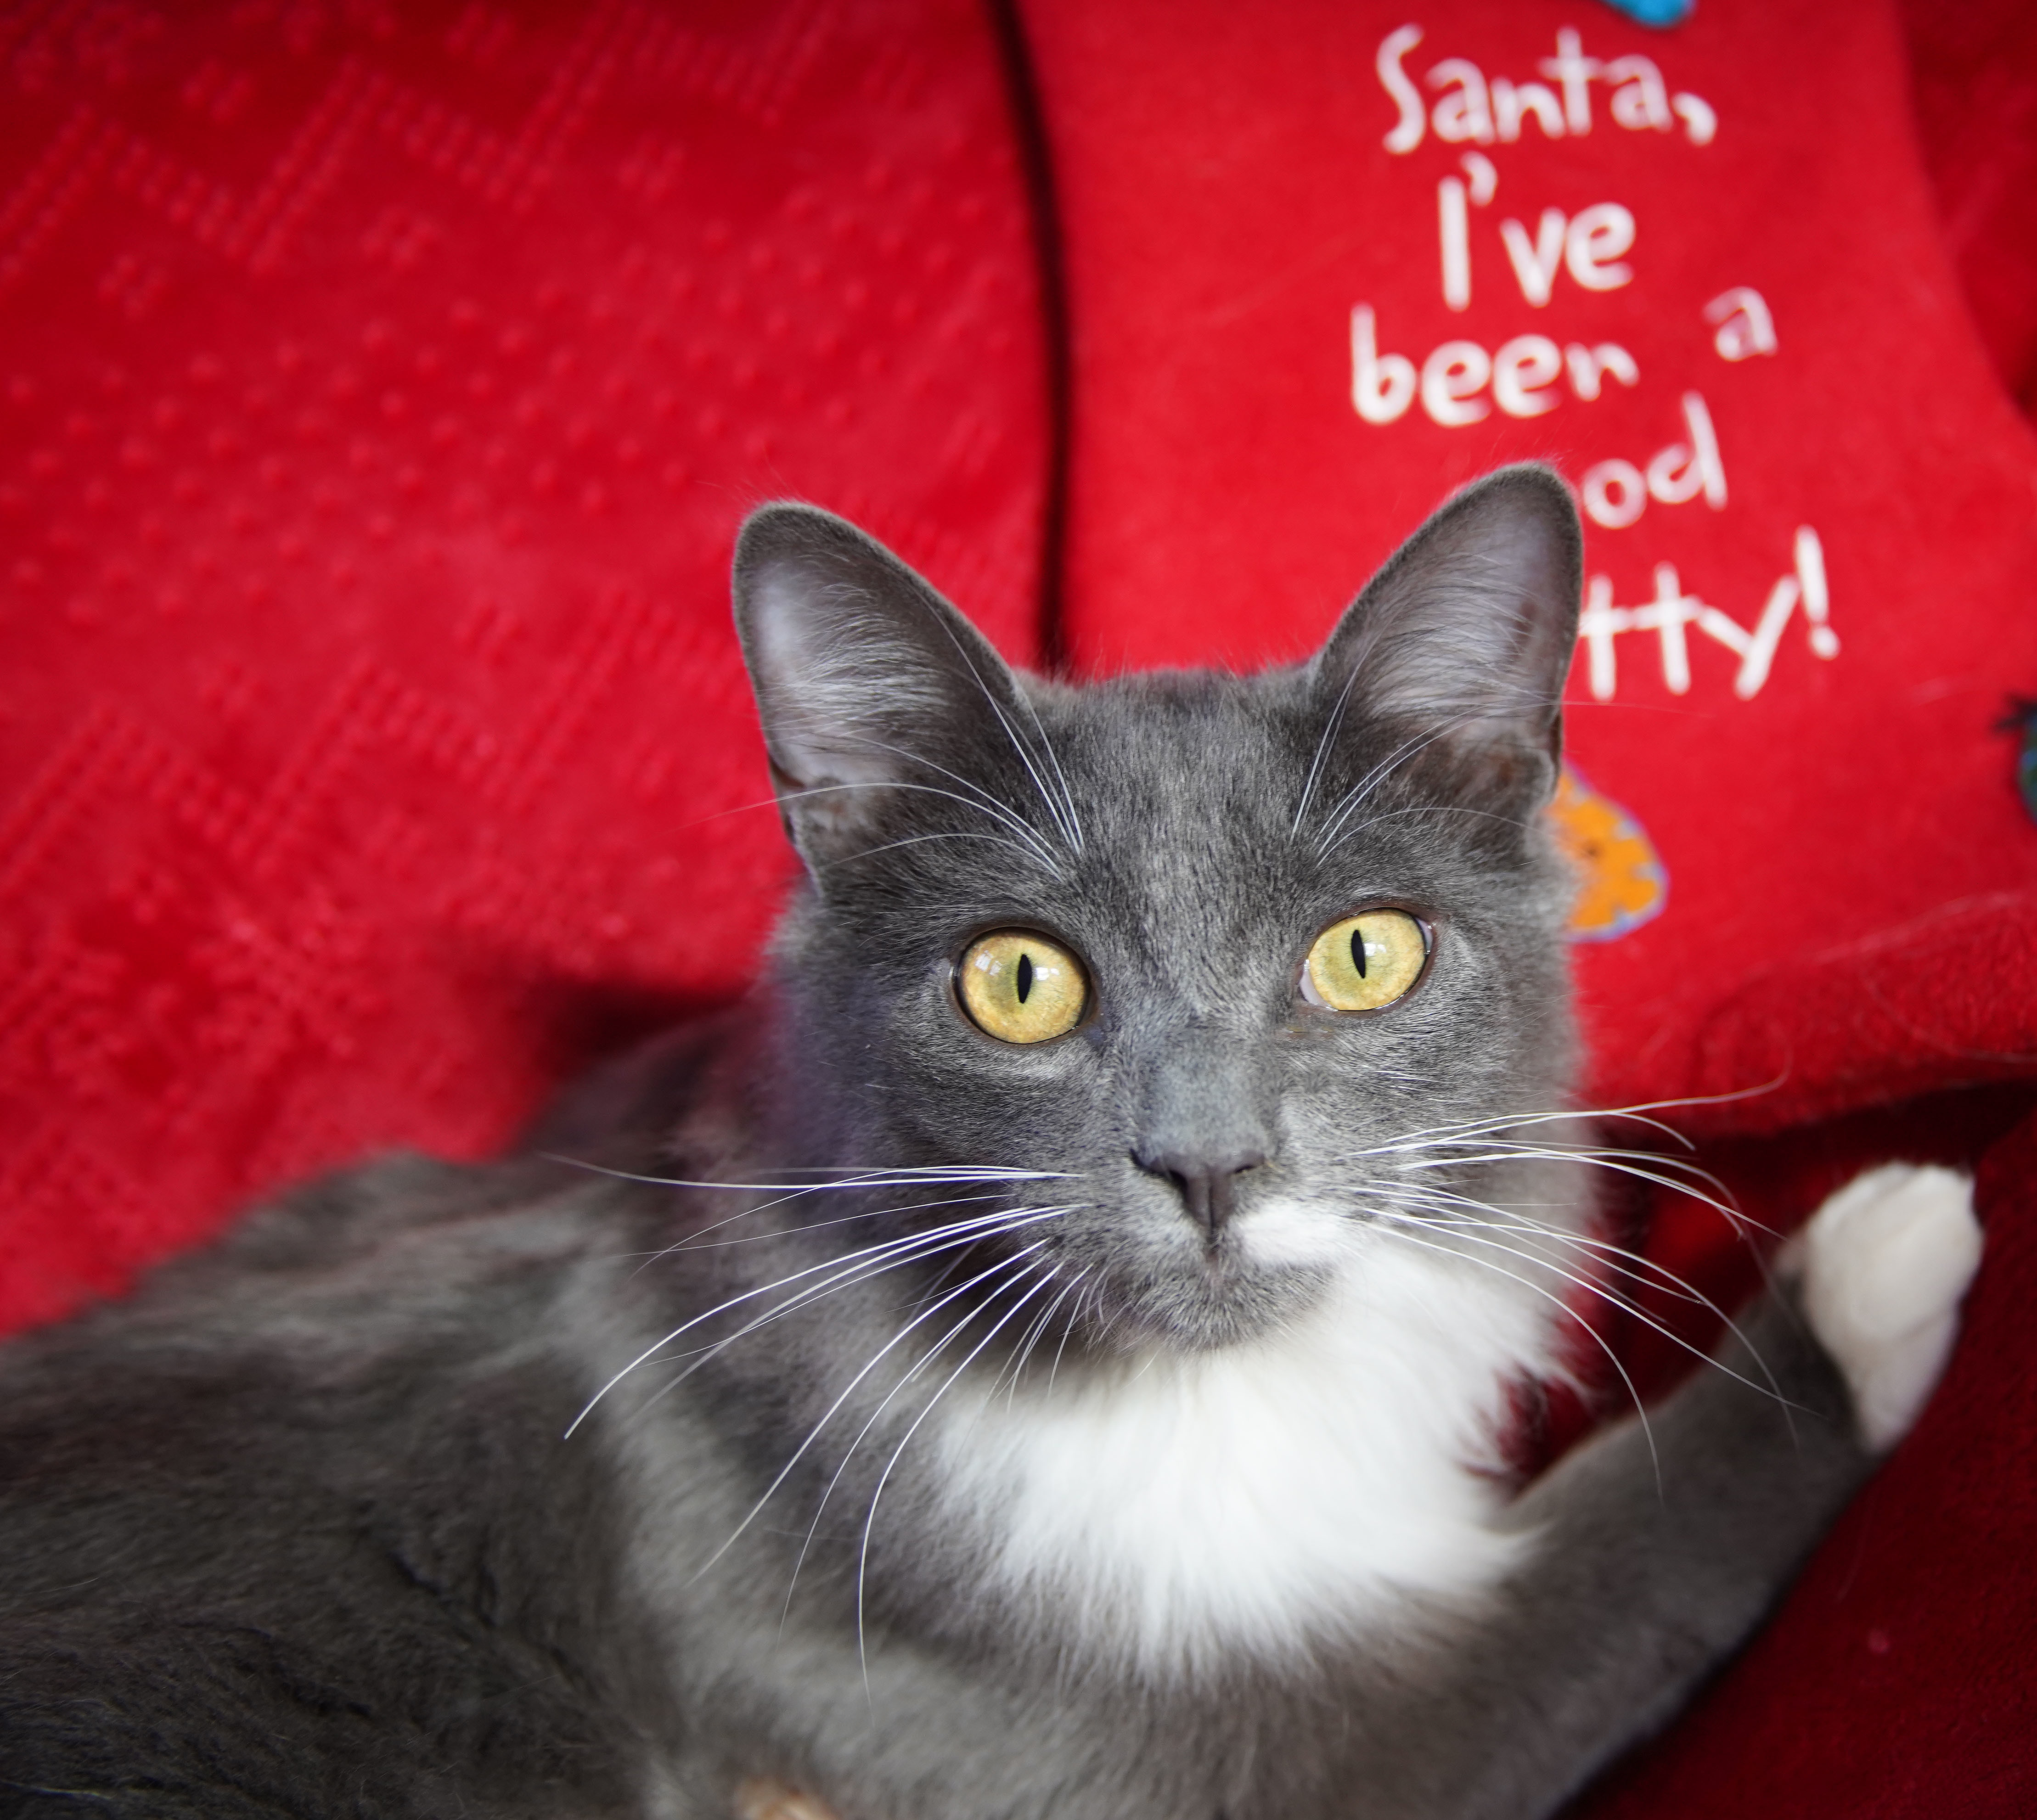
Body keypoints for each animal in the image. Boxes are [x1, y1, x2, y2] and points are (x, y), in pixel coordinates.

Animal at [0, 470, 1980, 1820]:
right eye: (1017, 981)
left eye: (1361, 953)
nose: (1209, 1164)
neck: (1193, 1411)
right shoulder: (1114, 1733)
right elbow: (1593, 1584)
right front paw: (1877, 1261)